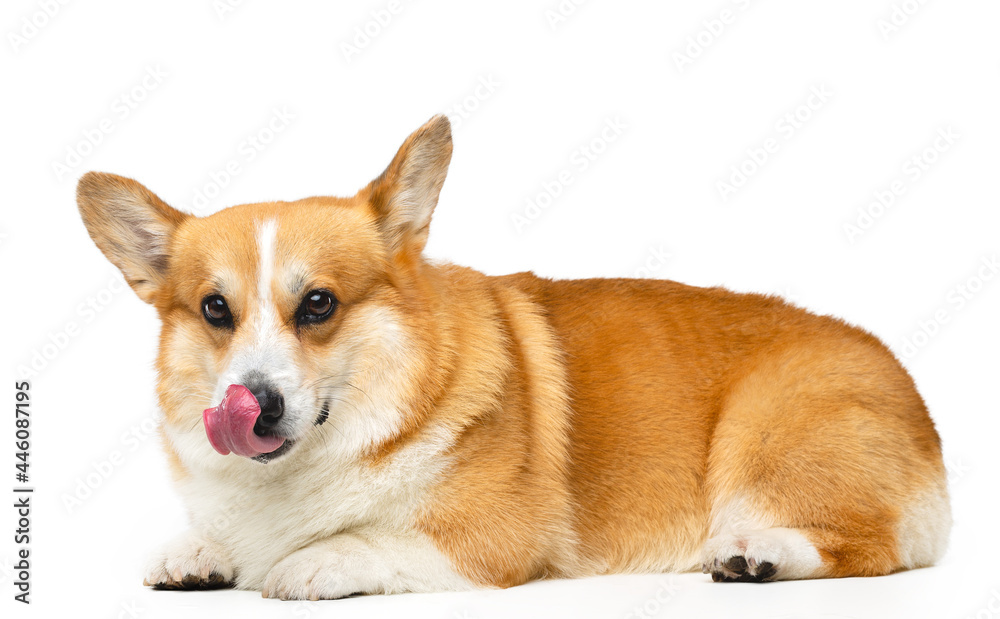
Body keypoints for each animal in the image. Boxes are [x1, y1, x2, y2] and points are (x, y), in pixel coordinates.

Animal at [78, 114, 952, 600]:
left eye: (318, 303)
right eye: (215, 310)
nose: (255, 403)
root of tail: (916, 394)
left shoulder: (495, 537)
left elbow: (372, 539)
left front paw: (312, 560)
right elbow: (210, 535)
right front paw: (197, 552)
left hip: (763, 435)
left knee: (870, 547)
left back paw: (758, 554)